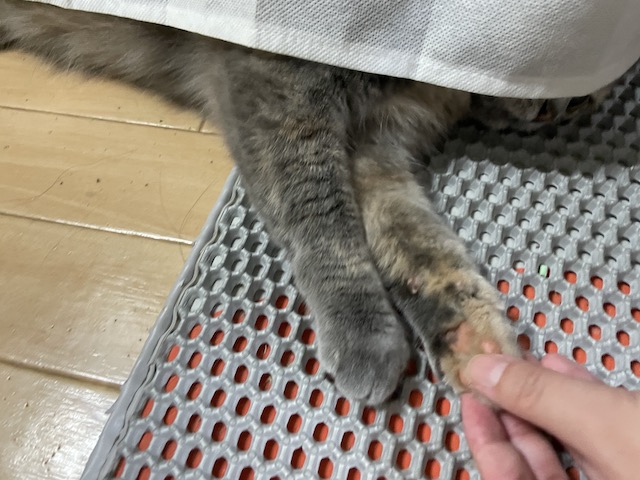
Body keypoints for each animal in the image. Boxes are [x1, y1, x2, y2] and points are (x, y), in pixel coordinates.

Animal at [0, 0, 609, 404]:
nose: (578, 105)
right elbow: (322, 221)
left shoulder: (375, 154)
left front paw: (475, 347)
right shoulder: (279, 91)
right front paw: (367, 343)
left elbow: (421, 252)